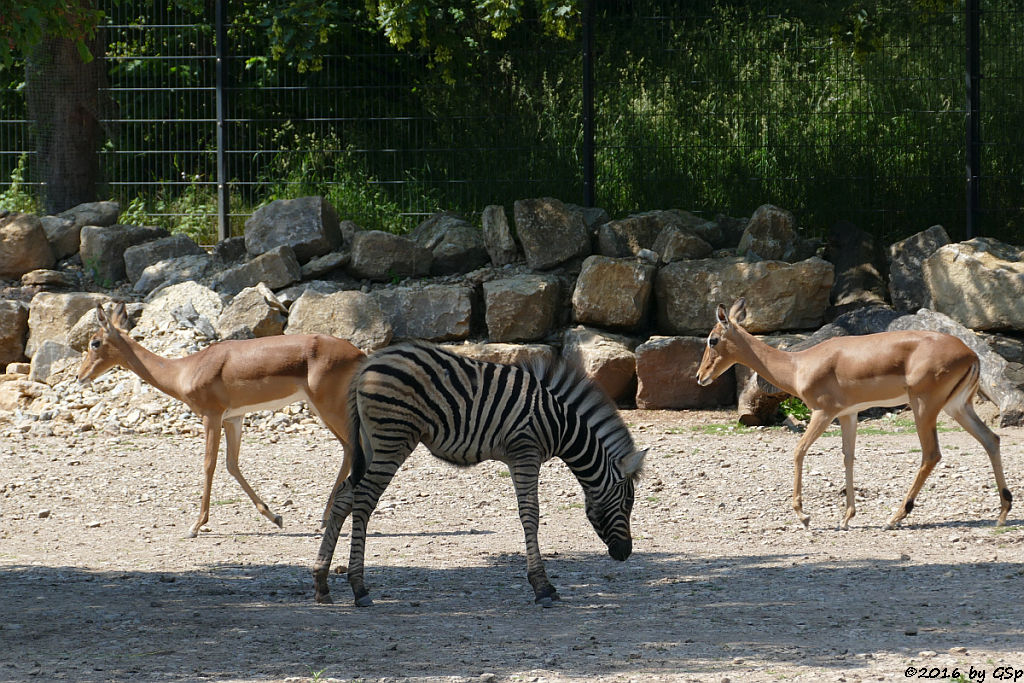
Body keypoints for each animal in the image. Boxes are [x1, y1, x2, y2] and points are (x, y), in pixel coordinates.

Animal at [313, 344, 647, 606]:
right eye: (628, 503)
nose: (626, 553)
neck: (561, 425)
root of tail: (368, 364)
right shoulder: (525, 451)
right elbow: (531, 514)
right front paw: (542, 588)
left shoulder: (516, 457)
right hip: (393, 438)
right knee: (363, 498)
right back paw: (359, 588)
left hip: (371, 442)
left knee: (344, 495)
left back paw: (322, 583)